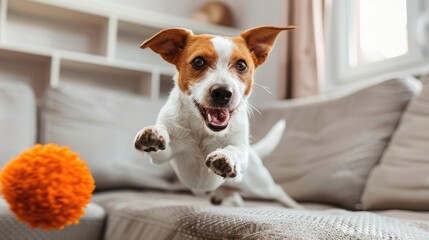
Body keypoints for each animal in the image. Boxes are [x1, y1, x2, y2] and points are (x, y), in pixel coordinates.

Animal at [134, 24, 300, 208]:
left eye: (241, 65)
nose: (222, 93)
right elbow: (163, 137)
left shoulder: (241, 153)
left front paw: (226, 156)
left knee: (278, 190)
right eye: (198, 62)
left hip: (258, 184)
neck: (202, 129)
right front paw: (155, 133)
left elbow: (235, 150)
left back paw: (296, 206)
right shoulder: (164, 155)